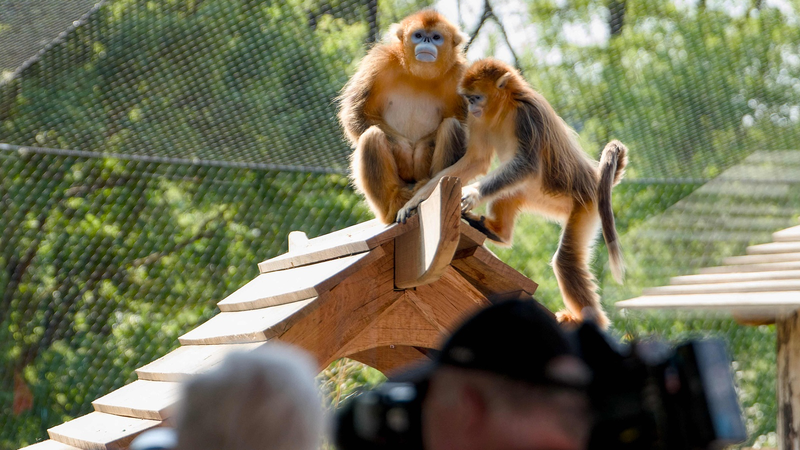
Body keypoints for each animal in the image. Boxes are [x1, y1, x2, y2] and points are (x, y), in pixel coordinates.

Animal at [338, 10, 469, 224]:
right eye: (418, 35)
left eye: (436, 37)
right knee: (372, 135)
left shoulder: (460, 74)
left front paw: (421, 151)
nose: (426, 41)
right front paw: (404, 152)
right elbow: (356, 114)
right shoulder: (379, 60)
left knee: (451, 126)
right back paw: (395, 202)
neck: (419, 76)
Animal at [398, 58, 627, 329]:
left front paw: (472, 193)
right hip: (540, 197)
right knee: (507, 191)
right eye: (469, 99)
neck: (504, 109)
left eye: (476, 97)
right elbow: (475, 161)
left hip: (586, 204)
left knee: (566, 260)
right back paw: (496, 231)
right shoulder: (477, 120)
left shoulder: (527, 115)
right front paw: (416, 200)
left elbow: (527, 164)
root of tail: (595, 178)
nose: (472, 106)